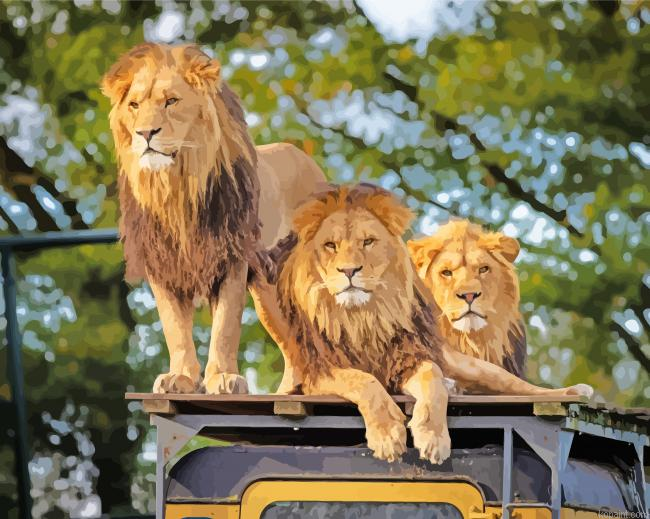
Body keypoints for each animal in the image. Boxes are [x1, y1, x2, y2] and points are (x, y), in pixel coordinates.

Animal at [101, 43, 325, 394]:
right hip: (268, 292)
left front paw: (222, 378)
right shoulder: (162, 264)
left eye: (171, 101)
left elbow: (225, 327)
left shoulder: (232, 259)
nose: (145, 133)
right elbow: (174, 329)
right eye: (134, 105)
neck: (176, 189)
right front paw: (179, 377)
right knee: (294, 345)